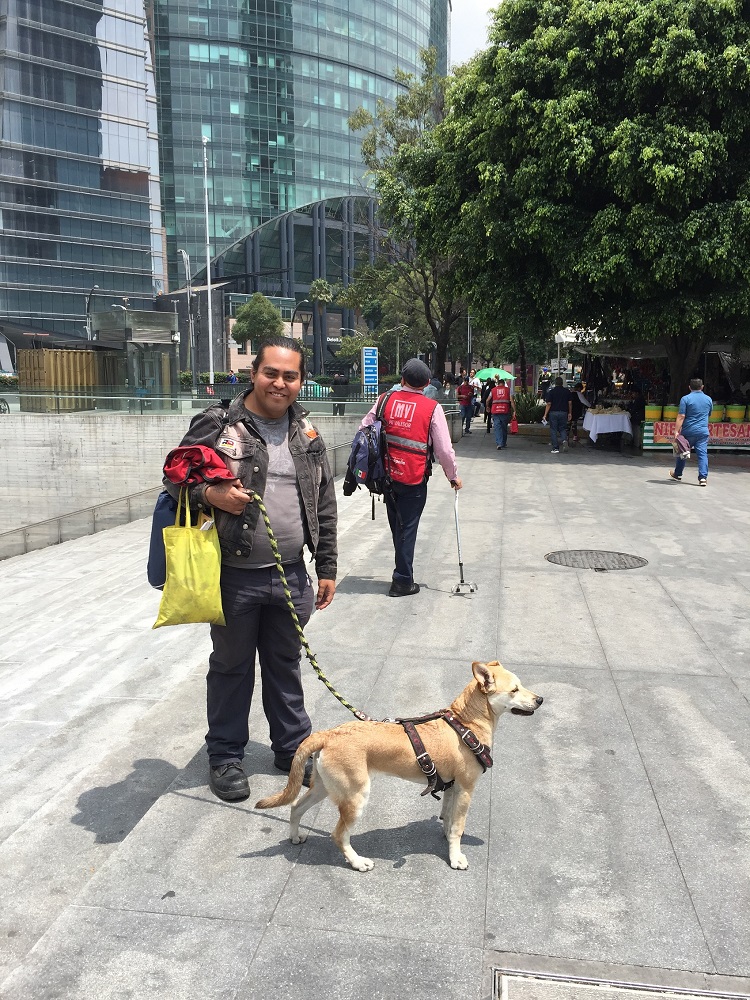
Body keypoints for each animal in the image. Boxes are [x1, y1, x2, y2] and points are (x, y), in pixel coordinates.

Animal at [256, 664, 544, 868]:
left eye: (521, 686)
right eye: (514, 690)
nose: (540, 699)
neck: (465, 723)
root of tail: (327, 734)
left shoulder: (452, 788)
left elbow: (448, 819)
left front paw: (446, 838)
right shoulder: (465, 789)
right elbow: (458, 827)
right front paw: (456, 858)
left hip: (324, 788)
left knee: (296, 807)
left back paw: (295, 837)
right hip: (355, 795)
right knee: (338, 835)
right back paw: (358, 862)